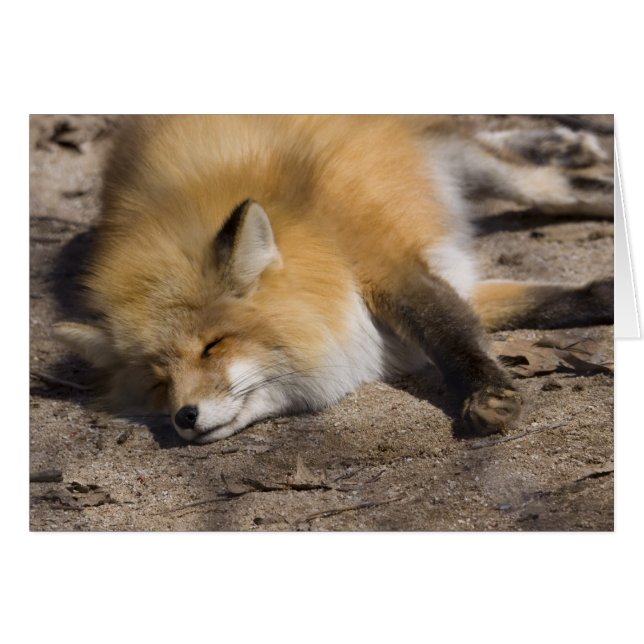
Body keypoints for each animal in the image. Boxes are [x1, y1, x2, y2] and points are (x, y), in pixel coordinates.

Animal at [54, 115, 614, 444]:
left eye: (213, 346)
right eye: (157, 382)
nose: (183, 417)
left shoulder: (384, 261)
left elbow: (448, 330)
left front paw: (488, 395)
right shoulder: (445, 280)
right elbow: (546, 302)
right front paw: (607, 295)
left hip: (455, 162)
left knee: (548, 184)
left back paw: (582, 166)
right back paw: (565, 143)